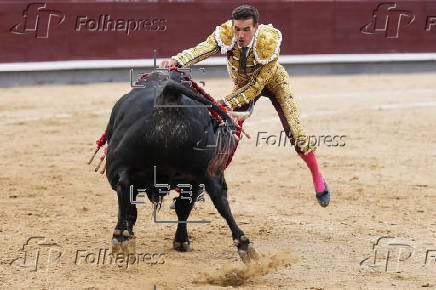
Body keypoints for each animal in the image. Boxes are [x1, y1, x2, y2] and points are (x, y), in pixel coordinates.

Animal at [103, 71, 258, 262]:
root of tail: (168, 94)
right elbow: (182, 207)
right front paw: (181, 241)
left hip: (120, 165)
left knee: (124, 190)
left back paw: (119, 237)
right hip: (206, 172)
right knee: (219, 199)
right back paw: (244, 244)